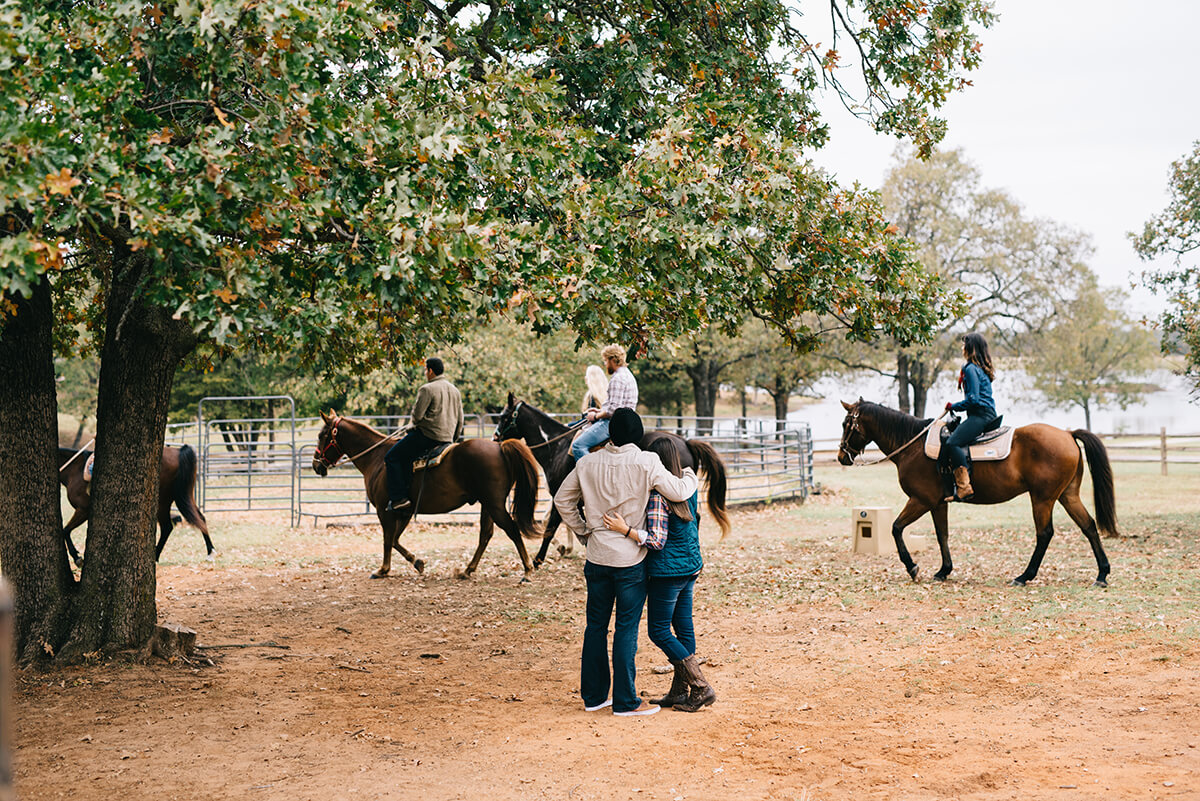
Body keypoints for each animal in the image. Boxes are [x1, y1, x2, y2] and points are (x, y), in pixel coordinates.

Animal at [56, 443, 213, 563]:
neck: (74, 470)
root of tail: (178, 451)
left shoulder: (83, 510)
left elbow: (65, 530)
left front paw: (77, 557)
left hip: (163, 502)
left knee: (167, 527)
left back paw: (155, 556)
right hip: (185, 496)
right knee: (200, 518)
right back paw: (210, 552)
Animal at [314, 412, 549, 582]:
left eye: (322, 436)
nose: (317, 465)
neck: (377, 458)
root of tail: (500, 446)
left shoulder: (384, 510)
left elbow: (387, 540)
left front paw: (383, 570)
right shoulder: (404, 511)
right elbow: (396, 540)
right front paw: (417, 562)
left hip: (494, 504)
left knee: (512, 530)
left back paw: (527, 571)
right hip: (488, 504)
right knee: (486, 534)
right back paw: (467, 570)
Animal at [489, 393, 729, 565]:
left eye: (504, 416)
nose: (494, 437)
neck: (557, 447)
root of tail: (685, 441)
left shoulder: (561, 494)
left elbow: (551, 527)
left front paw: (539, 560)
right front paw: (569, 548)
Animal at [835, 400, 1113, 587]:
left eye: (847, 424)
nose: (841, 456)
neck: (912, 445)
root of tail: (1067, 434)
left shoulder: (921, 500)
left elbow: (896, 528)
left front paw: (912, 567)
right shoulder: (938, 503)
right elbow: (942, 535)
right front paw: (944, 571)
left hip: (1042, 499)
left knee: (1044, 534)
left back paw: (1024, 576)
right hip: (1067, 496)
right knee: (1089, 526)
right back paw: (1101, 574)